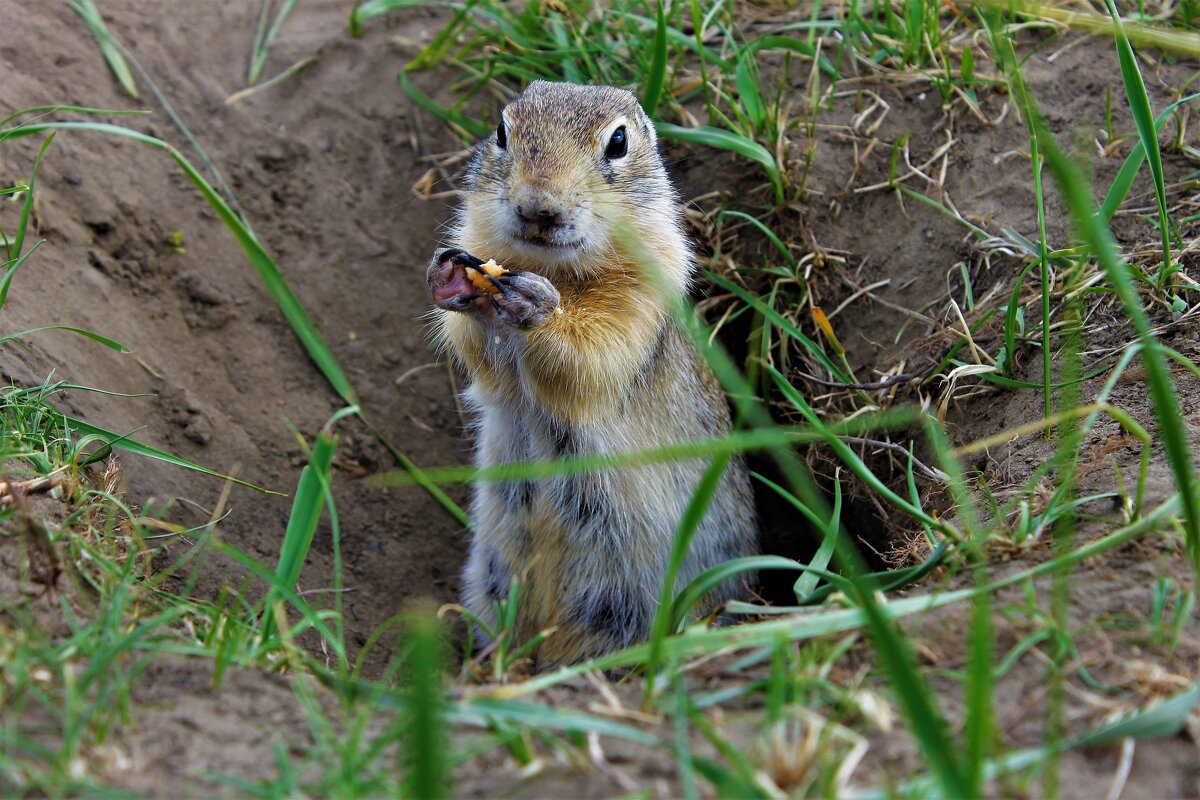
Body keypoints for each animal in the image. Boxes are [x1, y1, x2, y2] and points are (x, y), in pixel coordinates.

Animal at [427, 81, 753, 662]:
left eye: (618, 142)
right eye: (501, 131)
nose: (538, 208)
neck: (553, 267)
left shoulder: (642, 298)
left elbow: (591, 351)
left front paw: (536, 305)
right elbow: (478, 351)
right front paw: (453, 279)